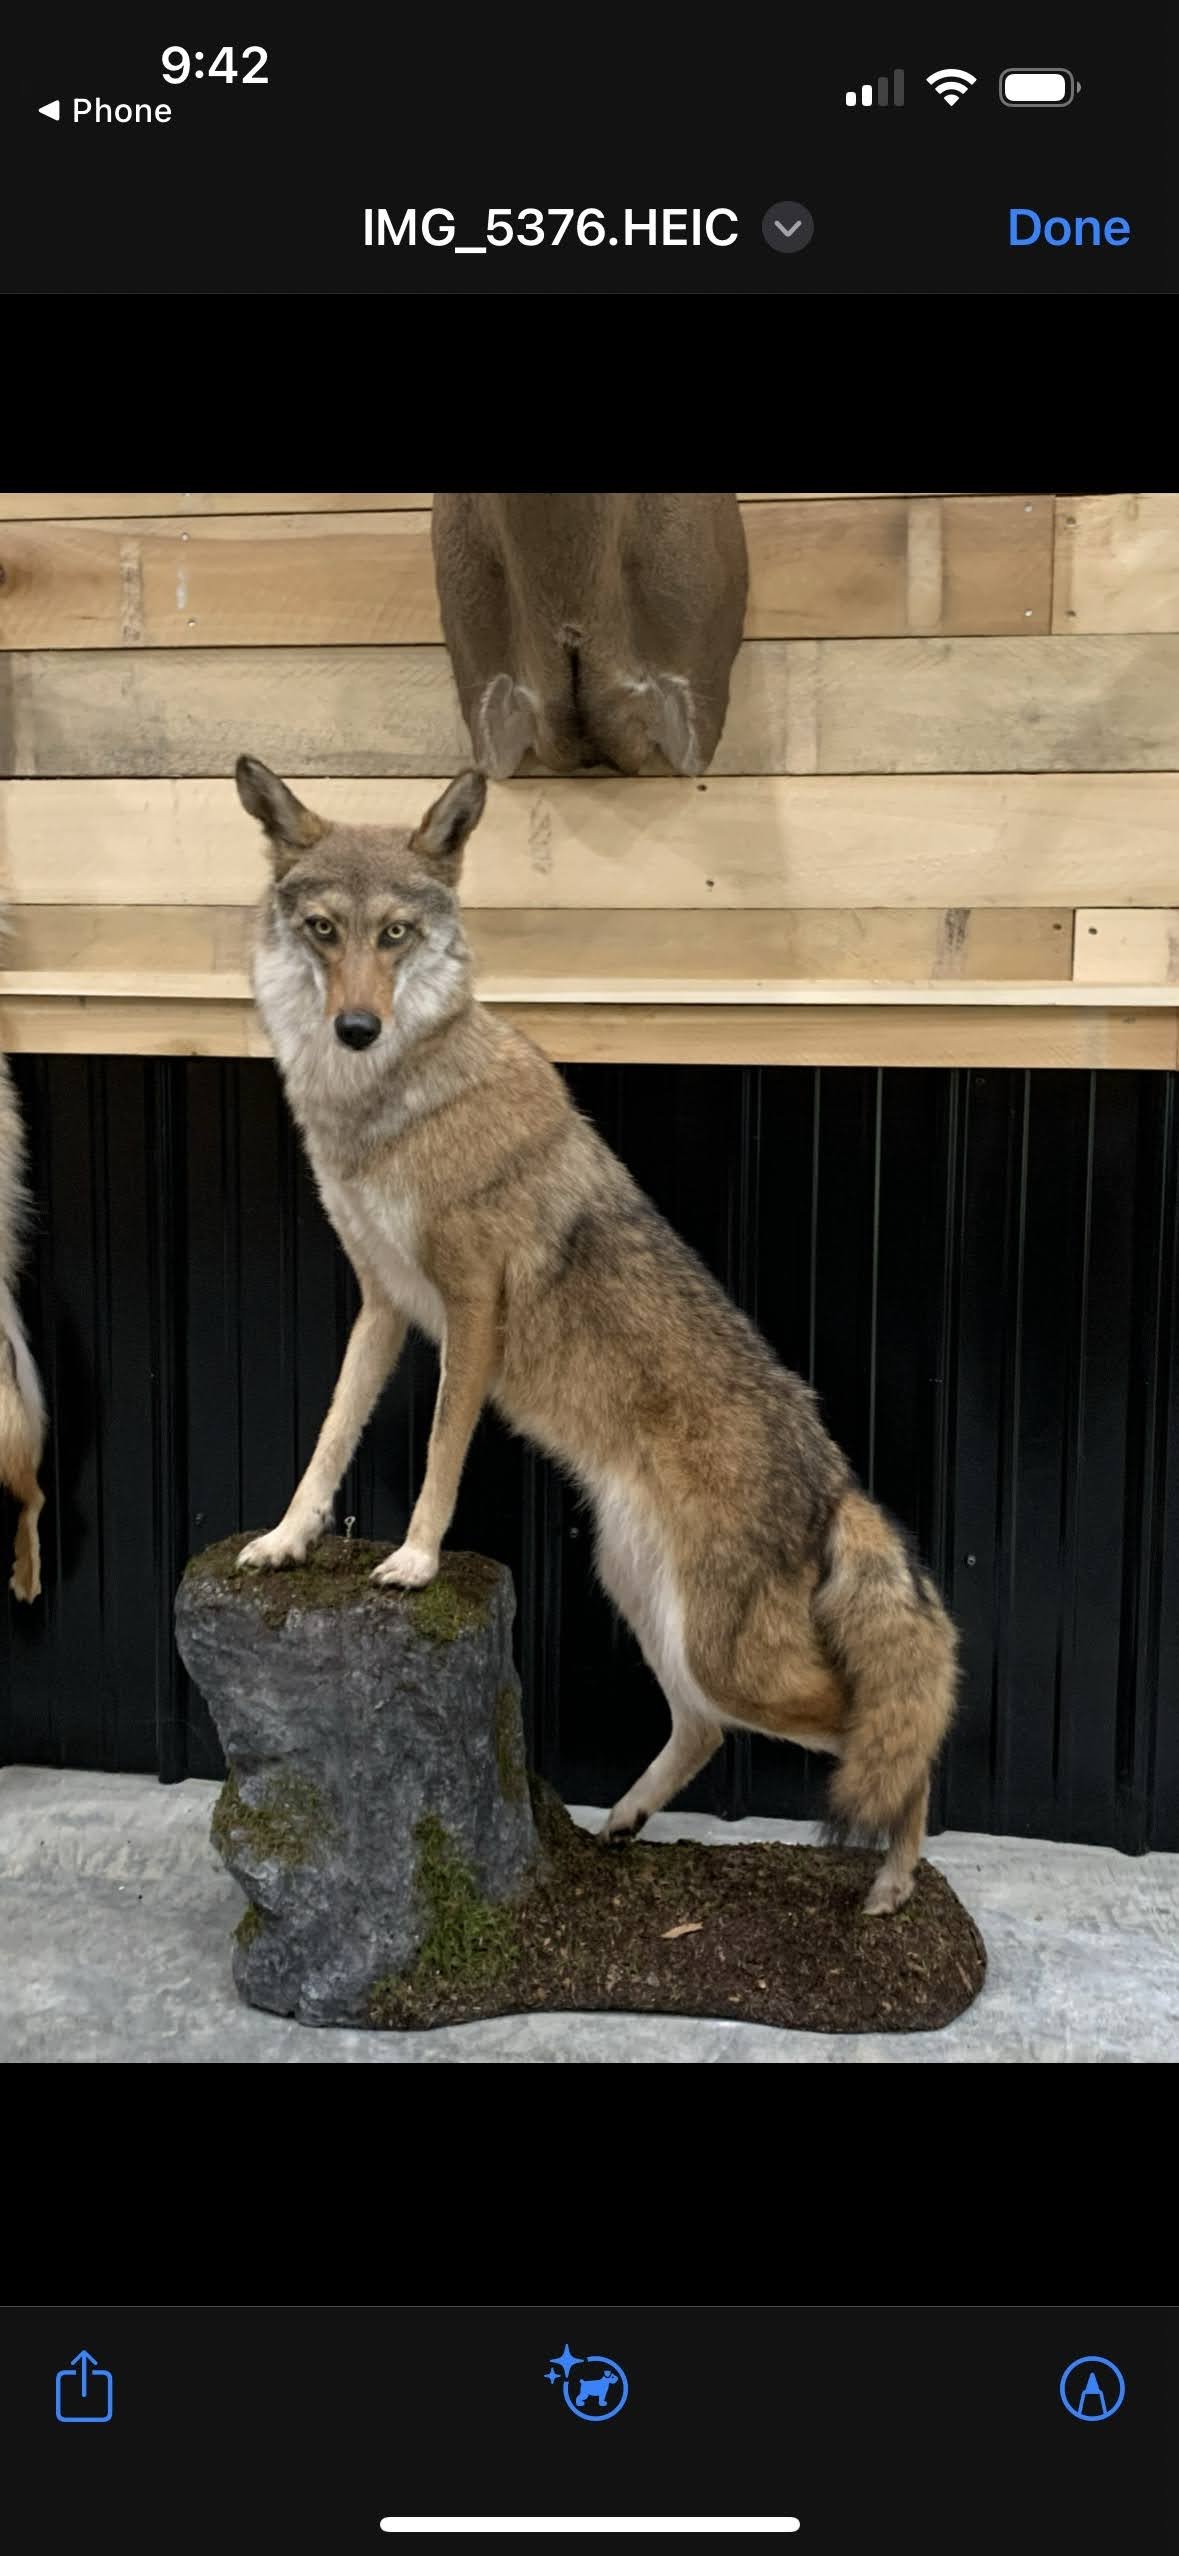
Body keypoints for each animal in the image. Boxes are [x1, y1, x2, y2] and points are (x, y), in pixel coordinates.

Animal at [234, 758, 957, 1912]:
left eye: (395, 935)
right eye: (321, 930)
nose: (356, 1028)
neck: (385, 1107)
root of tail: (841, 1489)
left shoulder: (472, 1305)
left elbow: (440, 1449)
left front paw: (415, 1562)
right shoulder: (383, 1305)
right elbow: (329, 1439)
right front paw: (285, 1540)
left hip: (725, 1655)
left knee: (897, 1738)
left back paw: (891, 1883)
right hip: (649, 1607)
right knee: (708, 1731)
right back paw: (620, 1820)